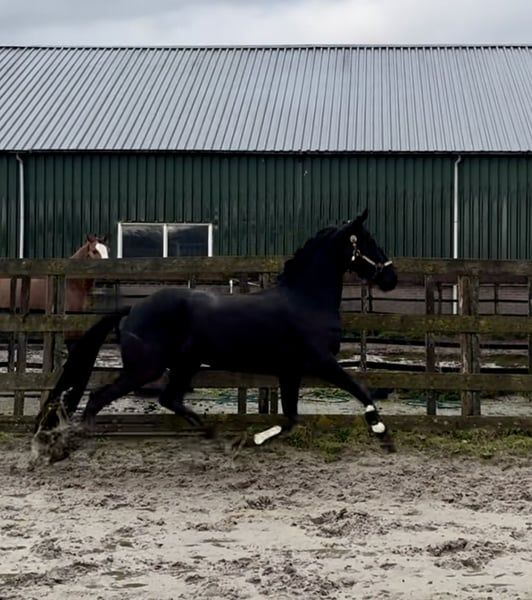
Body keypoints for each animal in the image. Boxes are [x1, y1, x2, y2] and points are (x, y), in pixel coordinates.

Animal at [34, 210, 397, 458]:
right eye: (368, 242)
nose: (391, 278)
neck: (305, 300)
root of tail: (133, 309)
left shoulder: (290, 371)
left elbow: (291, 417)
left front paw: (253, 439)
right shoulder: (320, 362)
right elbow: (360, 388)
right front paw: (381, 431)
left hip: (186, 364)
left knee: (170, 399)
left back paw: (211, 431)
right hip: (146, 368)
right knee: (99, 398)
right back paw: (71, 445)